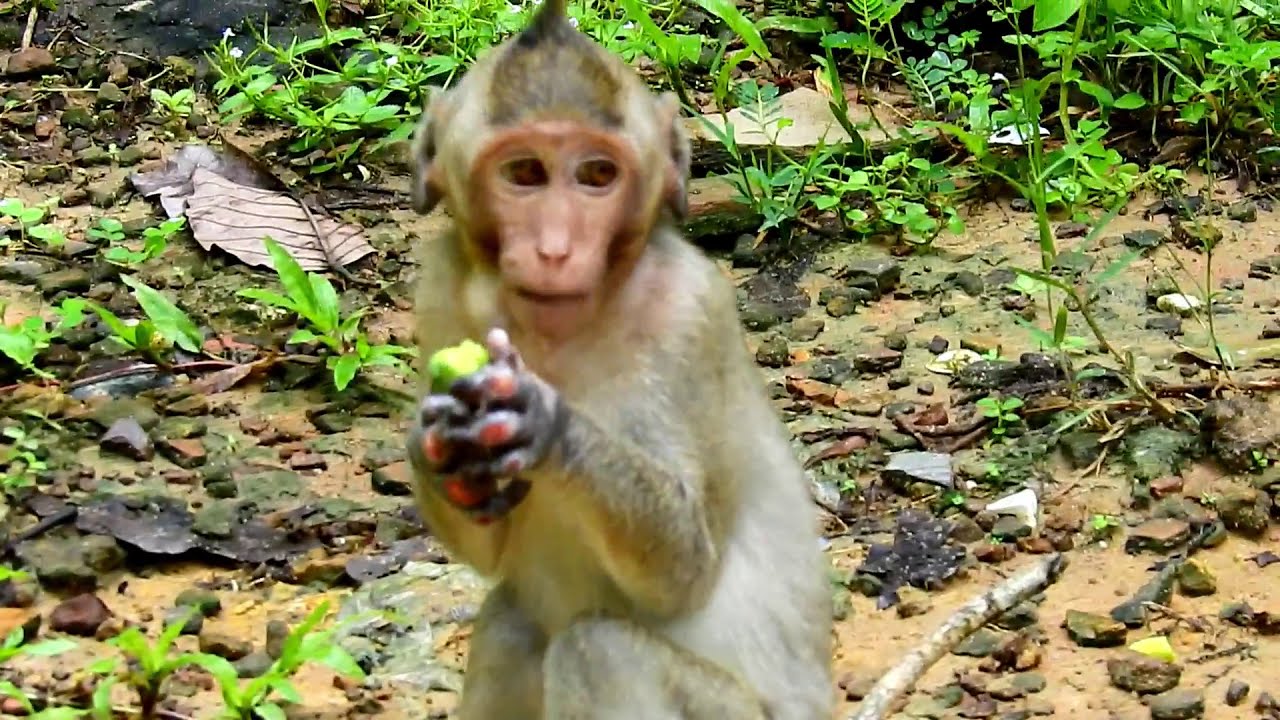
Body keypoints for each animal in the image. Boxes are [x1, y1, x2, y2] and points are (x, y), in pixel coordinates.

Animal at [403, 1, 834, 718]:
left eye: (597, 175)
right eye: (524, 173)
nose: (554, 249)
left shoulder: (692, 315)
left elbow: (685, 569)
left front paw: (549, 425)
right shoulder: (439, 289)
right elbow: (488, 545)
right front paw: (436, 438)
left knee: (597, 650)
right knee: (511, 624)